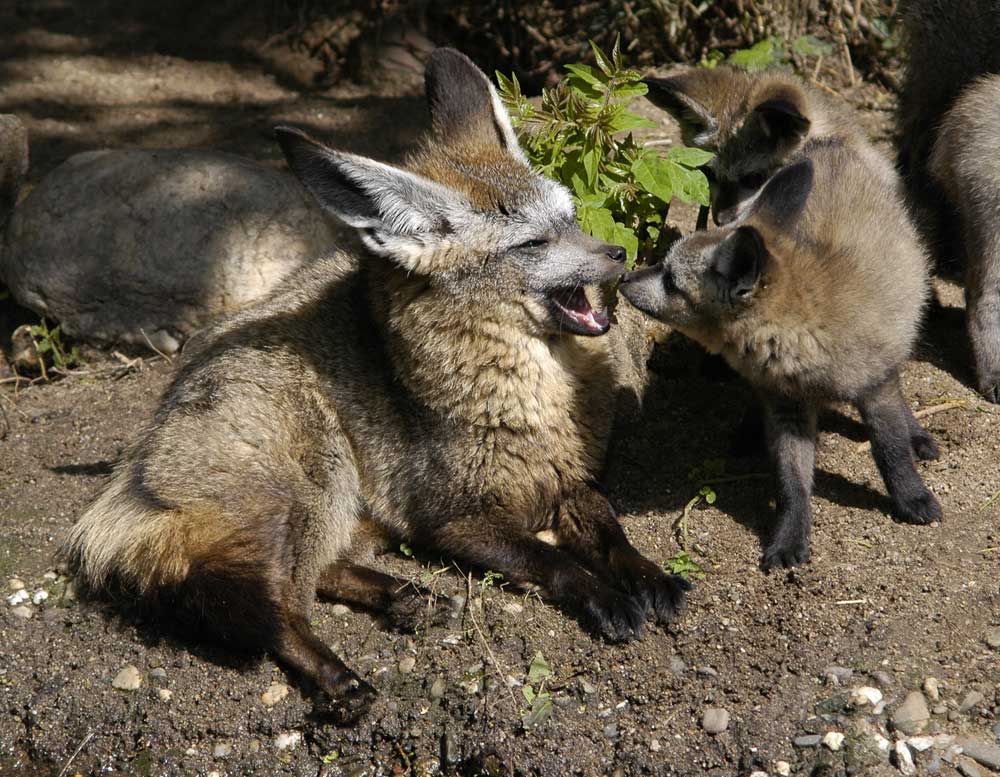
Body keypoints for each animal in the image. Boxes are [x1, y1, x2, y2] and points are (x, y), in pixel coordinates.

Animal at [58, 47, 688, 720]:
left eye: (570, 219)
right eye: (533, 243)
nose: (620, 253)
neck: (535, 405)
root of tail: (138, 466)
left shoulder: (570, 480)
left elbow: (611, 532)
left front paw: (650, 578)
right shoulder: (454, 520)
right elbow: (553, 562)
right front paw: (607, 598)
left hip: (346, 510)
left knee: (322, 571)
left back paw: (407, 597)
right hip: (314, 486)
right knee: (279, 606)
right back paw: (341, 678)